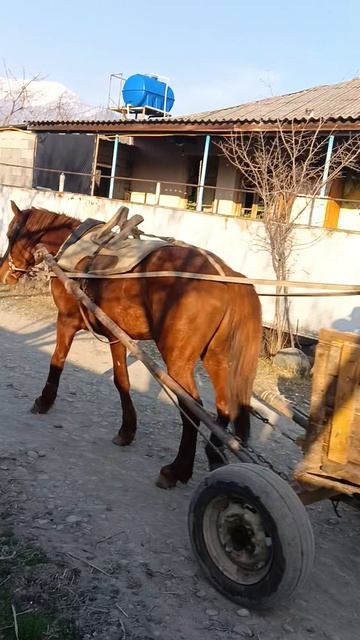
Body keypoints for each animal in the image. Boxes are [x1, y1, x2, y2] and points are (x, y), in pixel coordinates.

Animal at [0, 202, 260, 488]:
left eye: (10, 235)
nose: (4, 275)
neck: (74, 250)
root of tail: (228, 276)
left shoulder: (66, 320)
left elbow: (57, 360)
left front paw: (43, 401)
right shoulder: (116, 335)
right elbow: (121, 380)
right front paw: (127, 430)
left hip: (178, 360)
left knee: (192, 409)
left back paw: (176, 470)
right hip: (216, 357)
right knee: (224, 406)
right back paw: (214, 456)